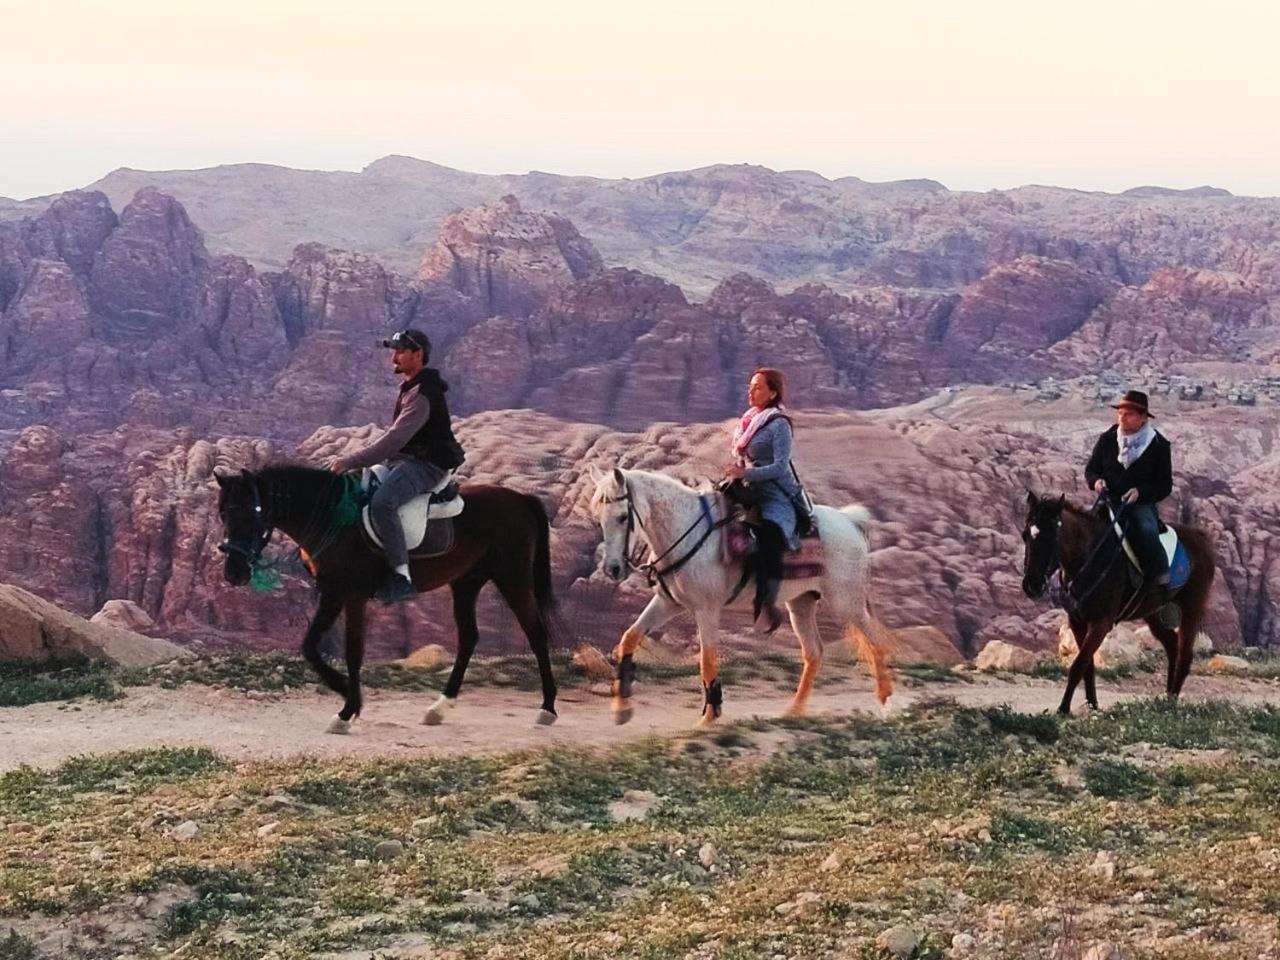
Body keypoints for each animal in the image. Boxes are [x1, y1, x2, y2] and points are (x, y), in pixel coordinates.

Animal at [217, 465, 558, 727]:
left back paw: (548, 708)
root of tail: (522, 499)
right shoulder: (332, 593)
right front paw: (347, 694)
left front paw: (347, 710)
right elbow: (310, 647)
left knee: (536, 633)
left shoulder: (351, 595)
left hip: (512, 578)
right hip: (466, 582)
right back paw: (439, 708)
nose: (234, 573)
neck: (332, 517)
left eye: (253, 512)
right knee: (469, 638)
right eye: (223, 515)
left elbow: (353, 651)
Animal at [586, 463, 896, 727]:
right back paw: (794, 710)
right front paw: (621, 708)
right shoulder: (668, 603)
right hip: (801, 603)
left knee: (875, 642)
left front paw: (710, 716)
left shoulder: (707, 610)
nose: (612, 569)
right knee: (814, 652)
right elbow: (629, 637)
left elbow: (707, 658)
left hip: (847, 603)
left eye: (622, 517)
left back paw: (886, 704)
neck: (686, 530)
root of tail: (850, 520)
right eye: (599, 518)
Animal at [1024, 496, 1213, 716]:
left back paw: (1172, 701)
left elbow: (1078, 664)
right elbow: (1087, 665)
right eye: (1025, 535)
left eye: (1051, 537)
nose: (1031, 585)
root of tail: (1202, 539)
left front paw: (1063, 709)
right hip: (1154, 614)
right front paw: (1092, 704)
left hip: (1192, 609)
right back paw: (1167, 698)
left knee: (1184, 655)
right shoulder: (1077, 621)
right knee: (1172, 647)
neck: (1091, 557)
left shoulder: (1101, 623)